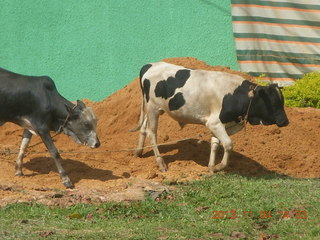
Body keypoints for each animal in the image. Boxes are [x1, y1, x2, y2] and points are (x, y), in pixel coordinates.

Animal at [131, 61, 288, 172]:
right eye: (274, 102)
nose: (285, 121)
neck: (237, 94)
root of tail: (150, 65)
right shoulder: (214, 123)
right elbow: (228, 144)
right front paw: (219, 166)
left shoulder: (223, 124)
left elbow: (215, 144)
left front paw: (211, 167)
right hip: (153, 108)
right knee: (152, 133)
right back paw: (161, 163)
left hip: (152, 109)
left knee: (144, 128)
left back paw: (139, 152)